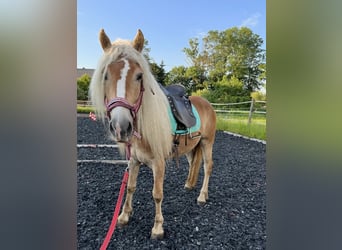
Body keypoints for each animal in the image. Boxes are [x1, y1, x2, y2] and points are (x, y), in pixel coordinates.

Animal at [89, 28, 216, 239]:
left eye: (139, 76)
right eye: (105, 76)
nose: (121, 126)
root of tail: (207, 103)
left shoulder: (159, 163)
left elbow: (157, 194)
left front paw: (158, 228)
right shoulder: (134, 161)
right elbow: (130, 187)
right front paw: (124, 216)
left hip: (207, 142)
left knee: (207, 167)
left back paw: (202, 196)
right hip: (192, 146)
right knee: (193, 164)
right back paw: (189, 185)